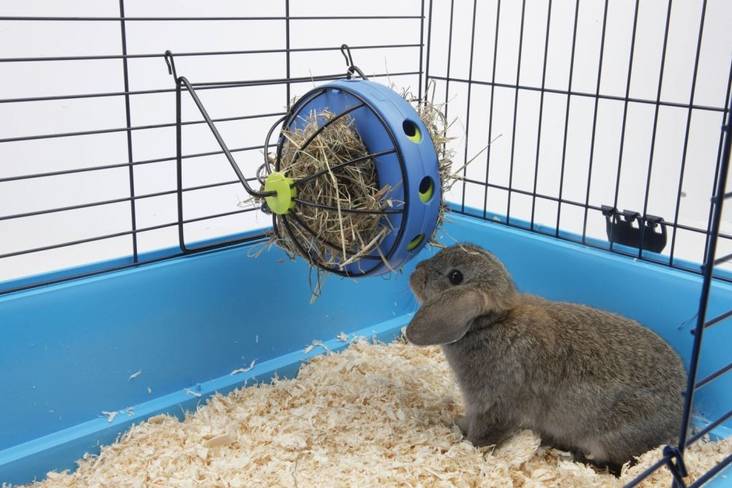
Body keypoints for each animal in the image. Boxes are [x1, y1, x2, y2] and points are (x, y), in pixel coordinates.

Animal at [405, 243, 687, 473]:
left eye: (455, 276)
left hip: (609, 440)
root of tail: (678, 420)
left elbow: (484, 435)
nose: (415, 271)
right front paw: (456, 424)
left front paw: (466, 445)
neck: (491, 324)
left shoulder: (495, 406)